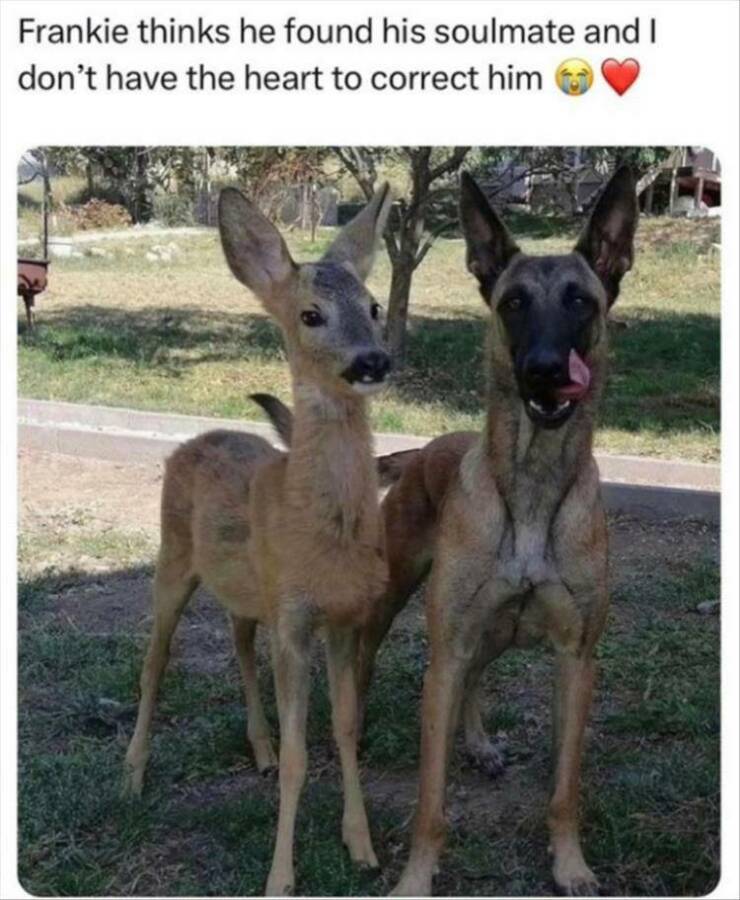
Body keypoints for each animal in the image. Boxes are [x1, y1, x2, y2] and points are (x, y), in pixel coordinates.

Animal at [122, 183, 392, 896]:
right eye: (310, 314)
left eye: (375, 306)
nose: (373, 360)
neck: (324, 538)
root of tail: (195, 440)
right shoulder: (294, 614)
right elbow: (304, 751)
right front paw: (280, 876)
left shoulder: (344, 617)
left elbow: (344, 728)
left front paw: (362, 846)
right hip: (171, 559)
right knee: (155, 661)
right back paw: (133, 774)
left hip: (246, 592)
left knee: (239, 642)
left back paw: (259, 748)